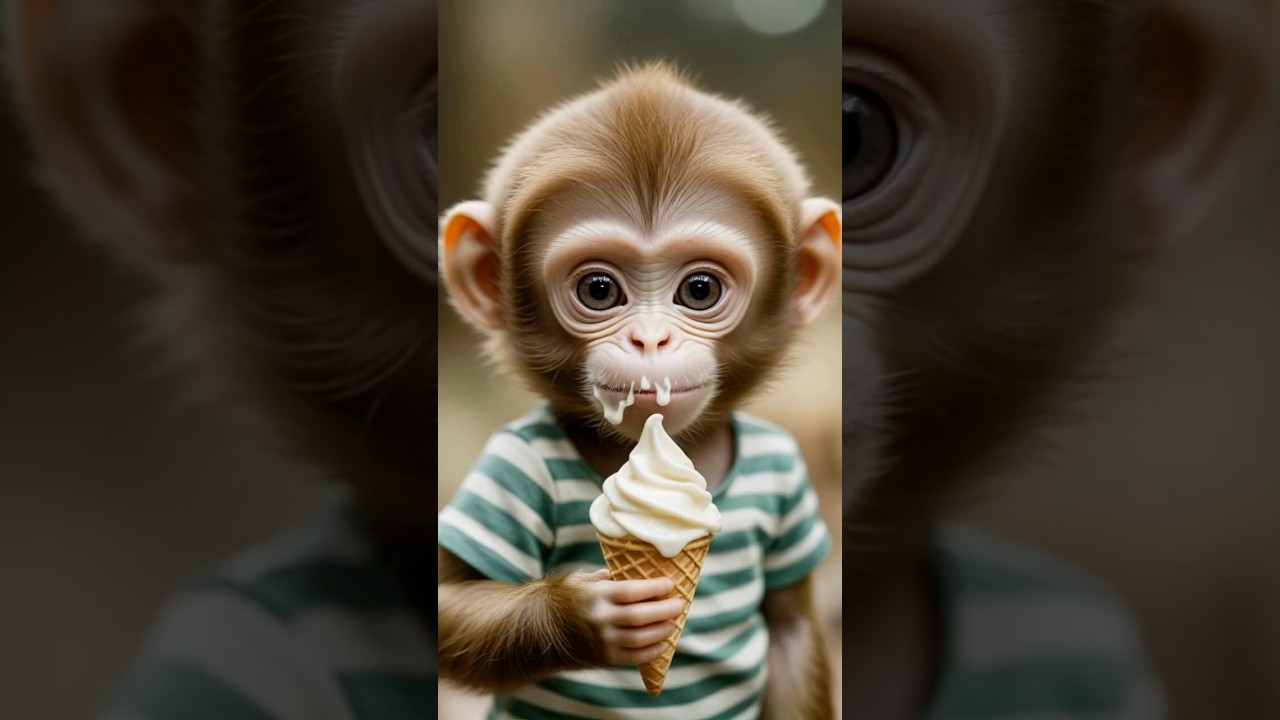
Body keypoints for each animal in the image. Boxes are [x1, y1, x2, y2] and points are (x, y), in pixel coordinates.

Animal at [435, 63, 841, 719]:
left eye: (699, 289)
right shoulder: (511, 465)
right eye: (599, 290)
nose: (650, 340)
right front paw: (589, 617)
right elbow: (447, 602)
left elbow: (790, 630)